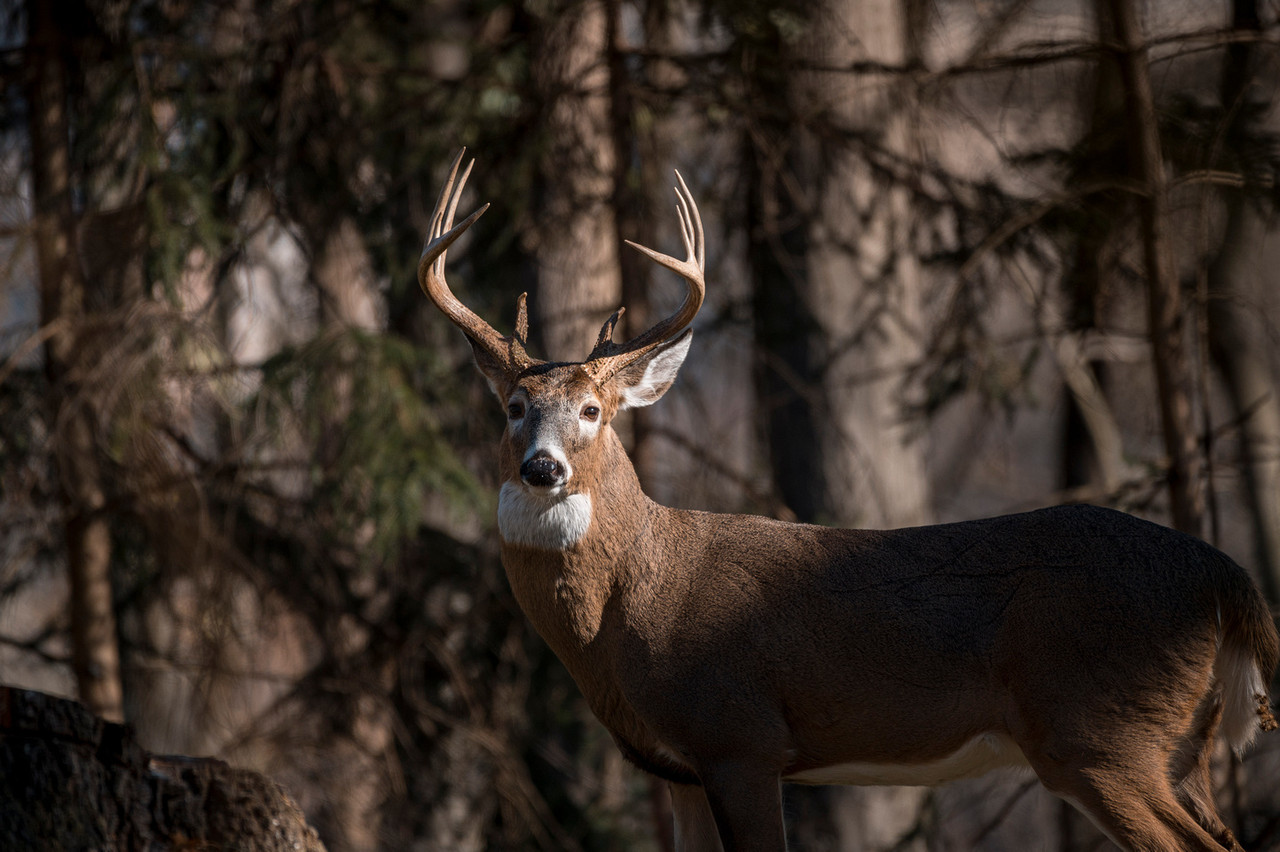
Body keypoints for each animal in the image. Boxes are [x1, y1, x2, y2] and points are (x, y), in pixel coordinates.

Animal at [418, 150, 1279, 852]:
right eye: (513, 407)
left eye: (593, 410)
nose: (542, 468)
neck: (630, 608)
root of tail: (1229, 581)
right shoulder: (677, 770)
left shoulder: (740, 737)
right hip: (1179, 747)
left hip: (1101, 733)